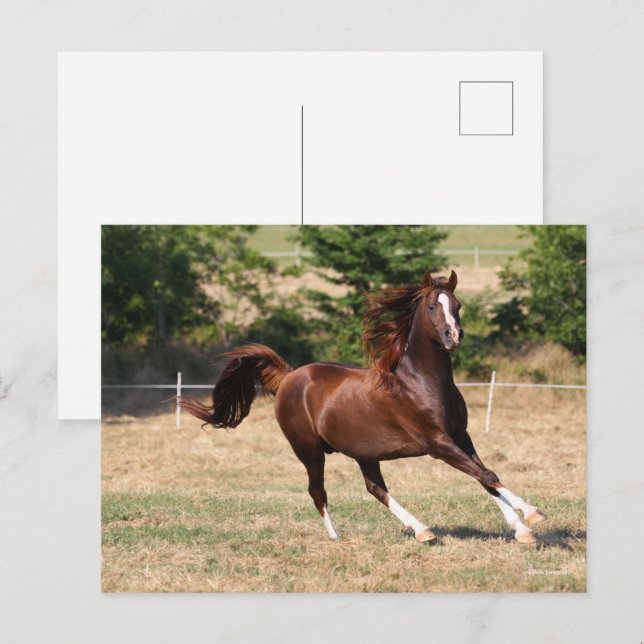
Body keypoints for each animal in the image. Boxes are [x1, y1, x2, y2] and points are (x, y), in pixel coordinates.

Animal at [181, 270, 544, 544]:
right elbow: (486, 474)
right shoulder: (437, 443)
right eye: (431, 305)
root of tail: (288, 376)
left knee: (375, 489)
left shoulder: (461, 436)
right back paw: (336, 537)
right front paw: (532, 515)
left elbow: (484, 476)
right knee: (318, 491)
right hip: (309, 450)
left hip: (364, 452)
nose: (452, 336)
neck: (420, 383)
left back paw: (422, 530)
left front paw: (522, 529)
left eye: (457, 304)